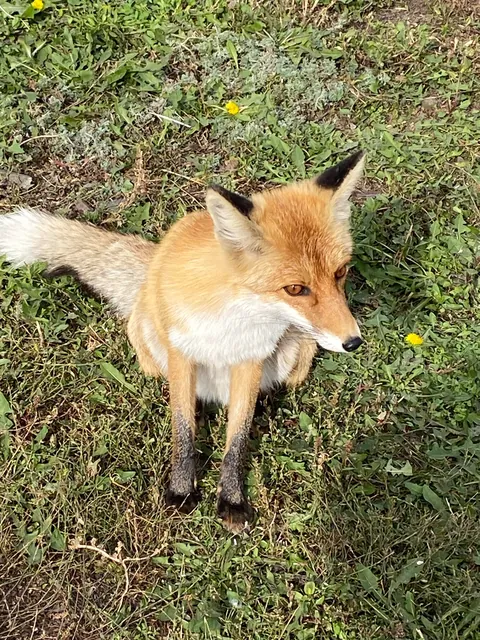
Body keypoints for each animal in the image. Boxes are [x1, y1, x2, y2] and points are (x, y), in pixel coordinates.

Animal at [0, 150, 365, 533]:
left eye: (340, 272)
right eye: (295, 288)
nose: (353, 342)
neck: (228, 318)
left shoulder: (250, 357)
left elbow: (237, 438)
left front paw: (231, 499)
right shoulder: (180, 354)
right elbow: (182, 430)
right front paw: (180, 490)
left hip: (296, 355)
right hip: (149, 341)